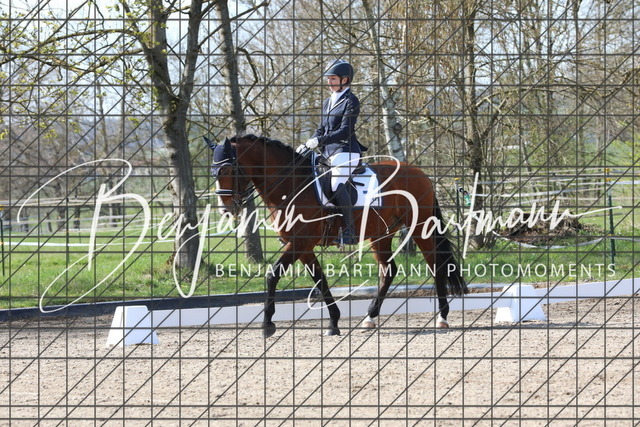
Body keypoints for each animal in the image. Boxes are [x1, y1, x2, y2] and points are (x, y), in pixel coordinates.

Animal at [206, 134, 468, 338]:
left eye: (228, 169)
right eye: (213, 171)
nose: (226, 210)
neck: (291, 185)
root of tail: (418, 172)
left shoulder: (299, 242)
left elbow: (273, 275)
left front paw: (267, 324)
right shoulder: (302, 246)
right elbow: (319, 280)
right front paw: (333, 322)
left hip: (420, 228)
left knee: (436, 265)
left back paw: (442, 317)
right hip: (381, 234)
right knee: (388, 270)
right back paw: (370, 318)